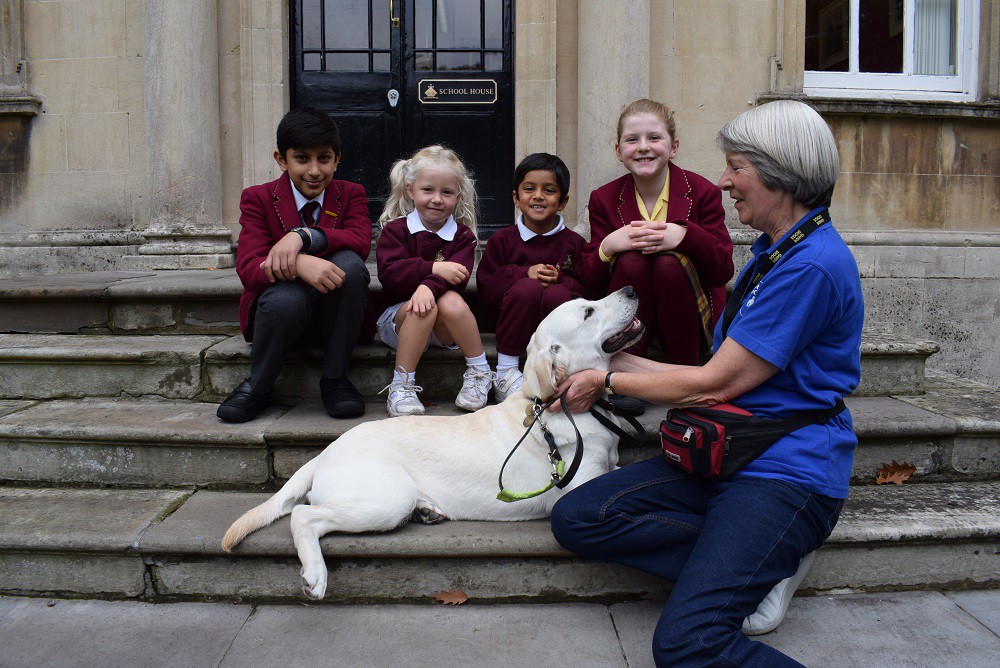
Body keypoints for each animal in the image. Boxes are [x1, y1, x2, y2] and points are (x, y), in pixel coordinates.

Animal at [221, 284, 640, 596]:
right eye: (588, 312)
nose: (631, 289)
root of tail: (325, 453)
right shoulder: (575, 488)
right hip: (388, 497)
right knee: (304, 515)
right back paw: (315, 575)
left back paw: (428, 511)